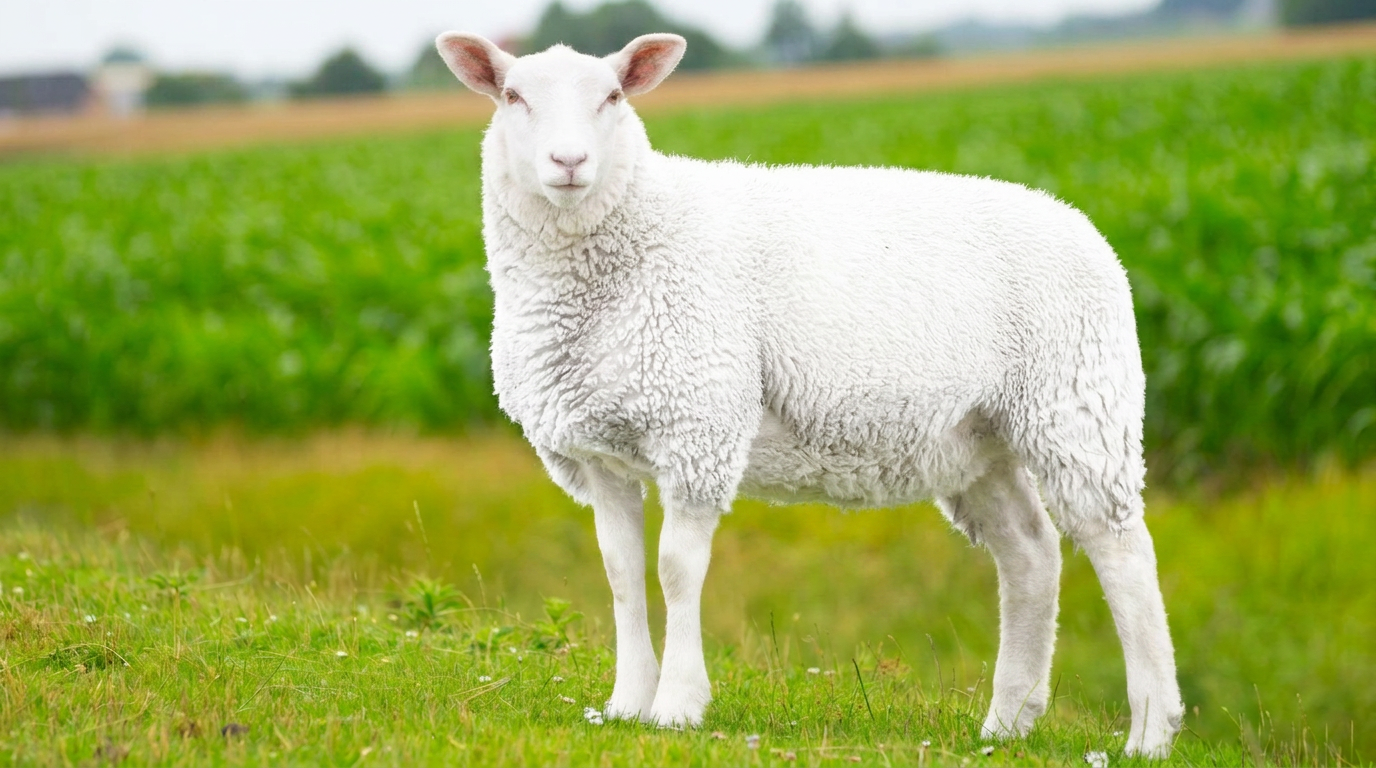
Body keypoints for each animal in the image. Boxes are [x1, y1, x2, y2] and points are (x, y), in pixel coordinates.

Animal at [436, 31, 1185, 757]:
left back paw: (1150, 730)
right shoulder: (599, 450)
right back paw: (1008, 721)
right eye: (512, 97)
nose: (568, 161)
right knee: (1031, 552)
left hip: (1077, 404)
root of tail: (1083, 226)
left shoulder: (698, 424)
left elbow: (676, 570)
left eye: (614, 96)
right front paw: (626, 705)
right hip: (979, 438)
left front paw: (677, 706)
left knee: (1123, 553)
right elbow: (621, 573)